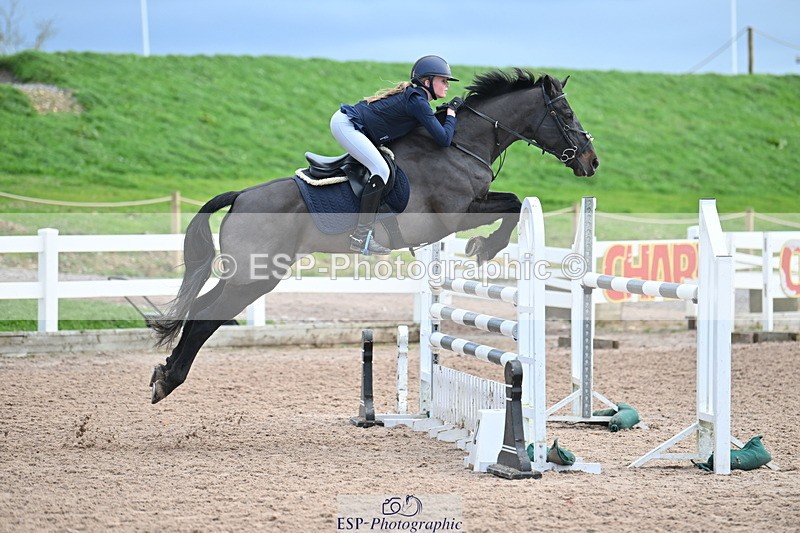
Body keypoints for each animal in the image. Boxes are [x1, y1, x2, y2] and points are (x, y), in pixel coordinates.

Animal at [149, 68, 598, 404]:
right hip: (255, 277)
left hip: (244, 275)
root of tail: (241, 195)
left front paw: (483, 247)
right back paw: (169, 380)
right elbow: (513, 204)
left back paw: (164, 371)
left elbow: (511, 201)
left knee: (201, 309)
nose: (592, 162)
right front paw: (485, 248)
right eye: (565, 112)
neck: (458, 144)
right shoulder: (457, 214)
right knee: (208, 318)